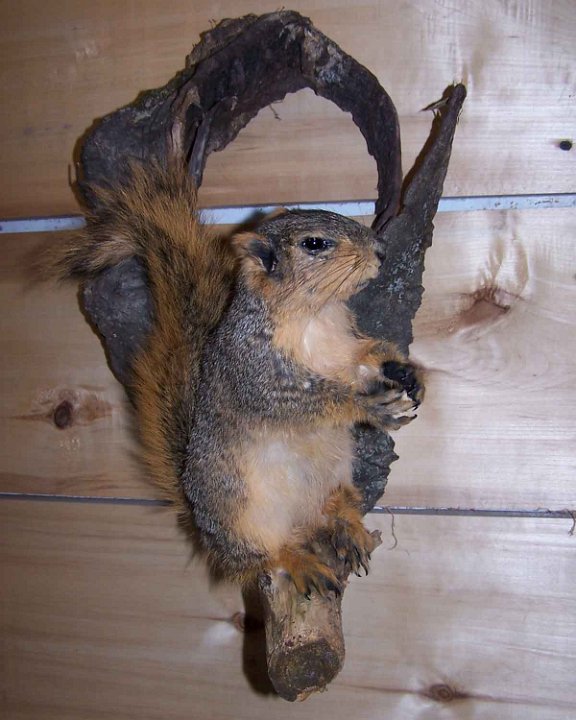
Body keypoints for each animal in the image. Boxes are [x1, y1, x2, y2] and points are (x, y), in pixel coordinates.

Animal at [45, 162, 423, 596]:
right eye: (314, 243)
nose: (382, 250)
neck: (316, 317)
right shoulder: (250, 369)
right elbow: (296, 402)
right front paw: (365, 404)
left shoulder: (344, 350)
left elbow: (363, 360)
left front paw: (404, 371)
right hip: (241, 516)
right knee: (262, 557)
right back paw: (296, 560)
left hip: (334, 476)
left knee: (330, 507)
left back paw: (347, 524)